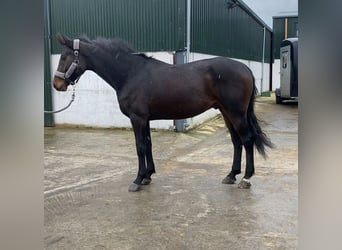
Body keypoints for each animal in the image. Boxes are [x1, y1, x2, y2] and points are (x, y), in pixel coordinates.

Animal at [52, 33, 272, 191]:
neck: (130, 73)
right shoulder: (146, 119)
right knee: (236, 142)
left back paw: (246, 178)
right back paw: (231, 175)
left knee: (247, 140)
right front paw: (148, 176)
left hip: (236, 113)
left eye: (64, 56)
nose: (57, 84)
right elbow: (148, 145)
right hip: (227, 113)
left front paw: (138, 179)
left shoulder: (137, 118)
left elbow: (140, 147)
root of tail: (245, 68)